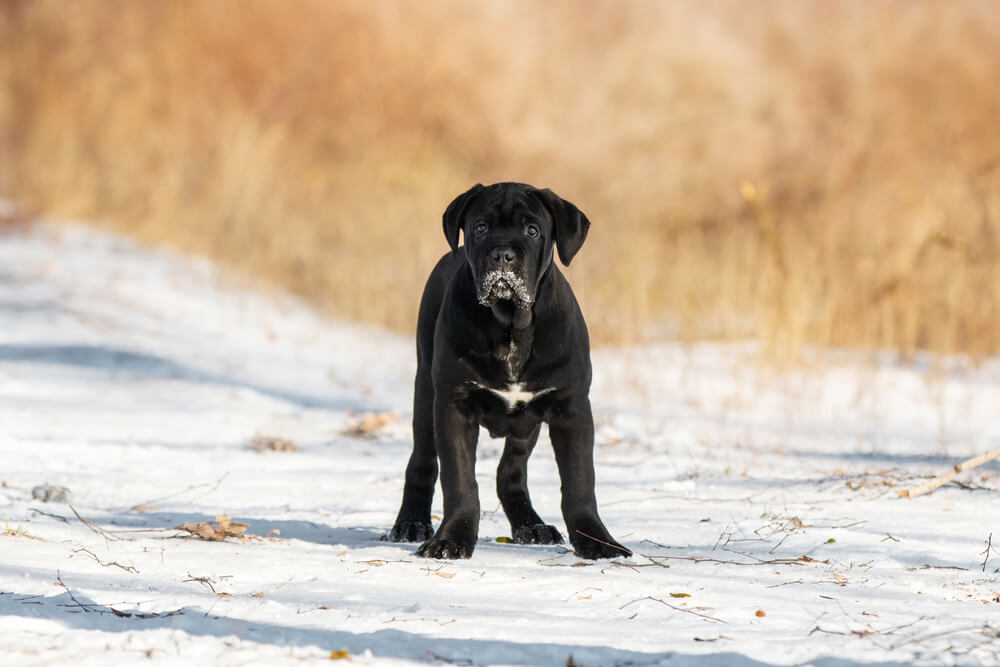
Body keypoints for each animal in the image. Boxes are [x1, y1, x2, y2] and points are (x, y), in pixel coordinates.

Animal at [388, 181, 628, 560]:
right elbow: (459, 481)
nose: (502, 254)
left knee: (510, 472)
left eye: (532, 230)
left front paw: (597, 542)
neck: (511, 327)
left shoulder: (571, 408)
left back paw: (532, 526)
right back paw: (411, 523)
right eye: (480, 228)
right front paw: (451, 539)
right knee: (422, 461)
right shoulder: (454, 405)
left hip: (525, 425)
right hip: (425, 393)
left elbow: (579, 481)